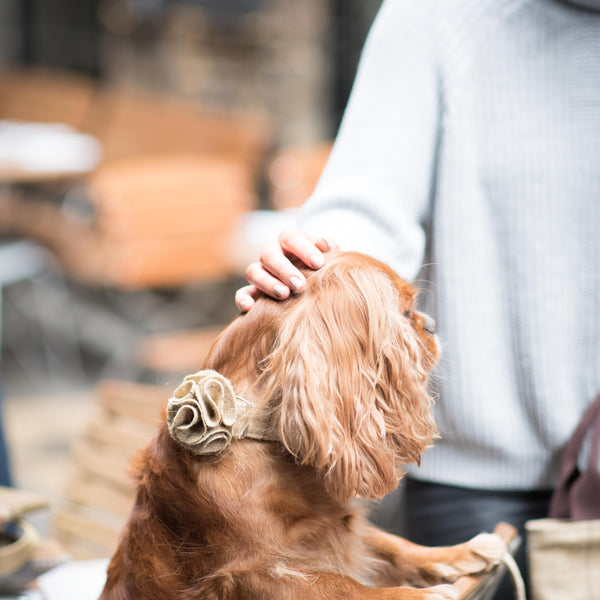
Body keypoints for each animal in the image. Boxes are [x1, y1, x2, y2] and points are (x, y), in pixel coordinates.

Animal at [101, 252, 504, 600]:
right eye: (405, 312)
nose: (432, 325)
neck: (253, 430)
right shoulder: (251, 574)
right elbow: (342, 586)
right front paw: (416, 595)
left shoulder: (338, 524)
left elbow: (383, 540)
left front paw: (456, 552)